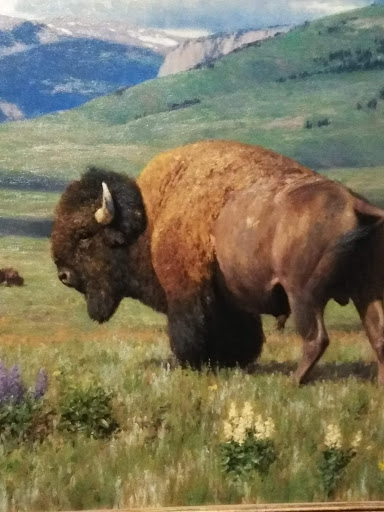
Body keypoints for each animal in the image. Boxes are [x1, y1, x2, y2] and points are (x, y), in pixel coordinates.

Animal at [52, 140, 384, 384]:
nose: (64, 275)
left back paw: (294, 381)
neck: (150, 218)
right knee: (377, 334)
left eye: (84, 234)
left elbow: (190, 331)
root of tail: (355, 203)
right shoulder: (231, 301)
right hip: (365, 291)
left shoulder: (187, 292)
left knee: (317, 337)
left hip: (304, 295)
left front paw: (195, 365)